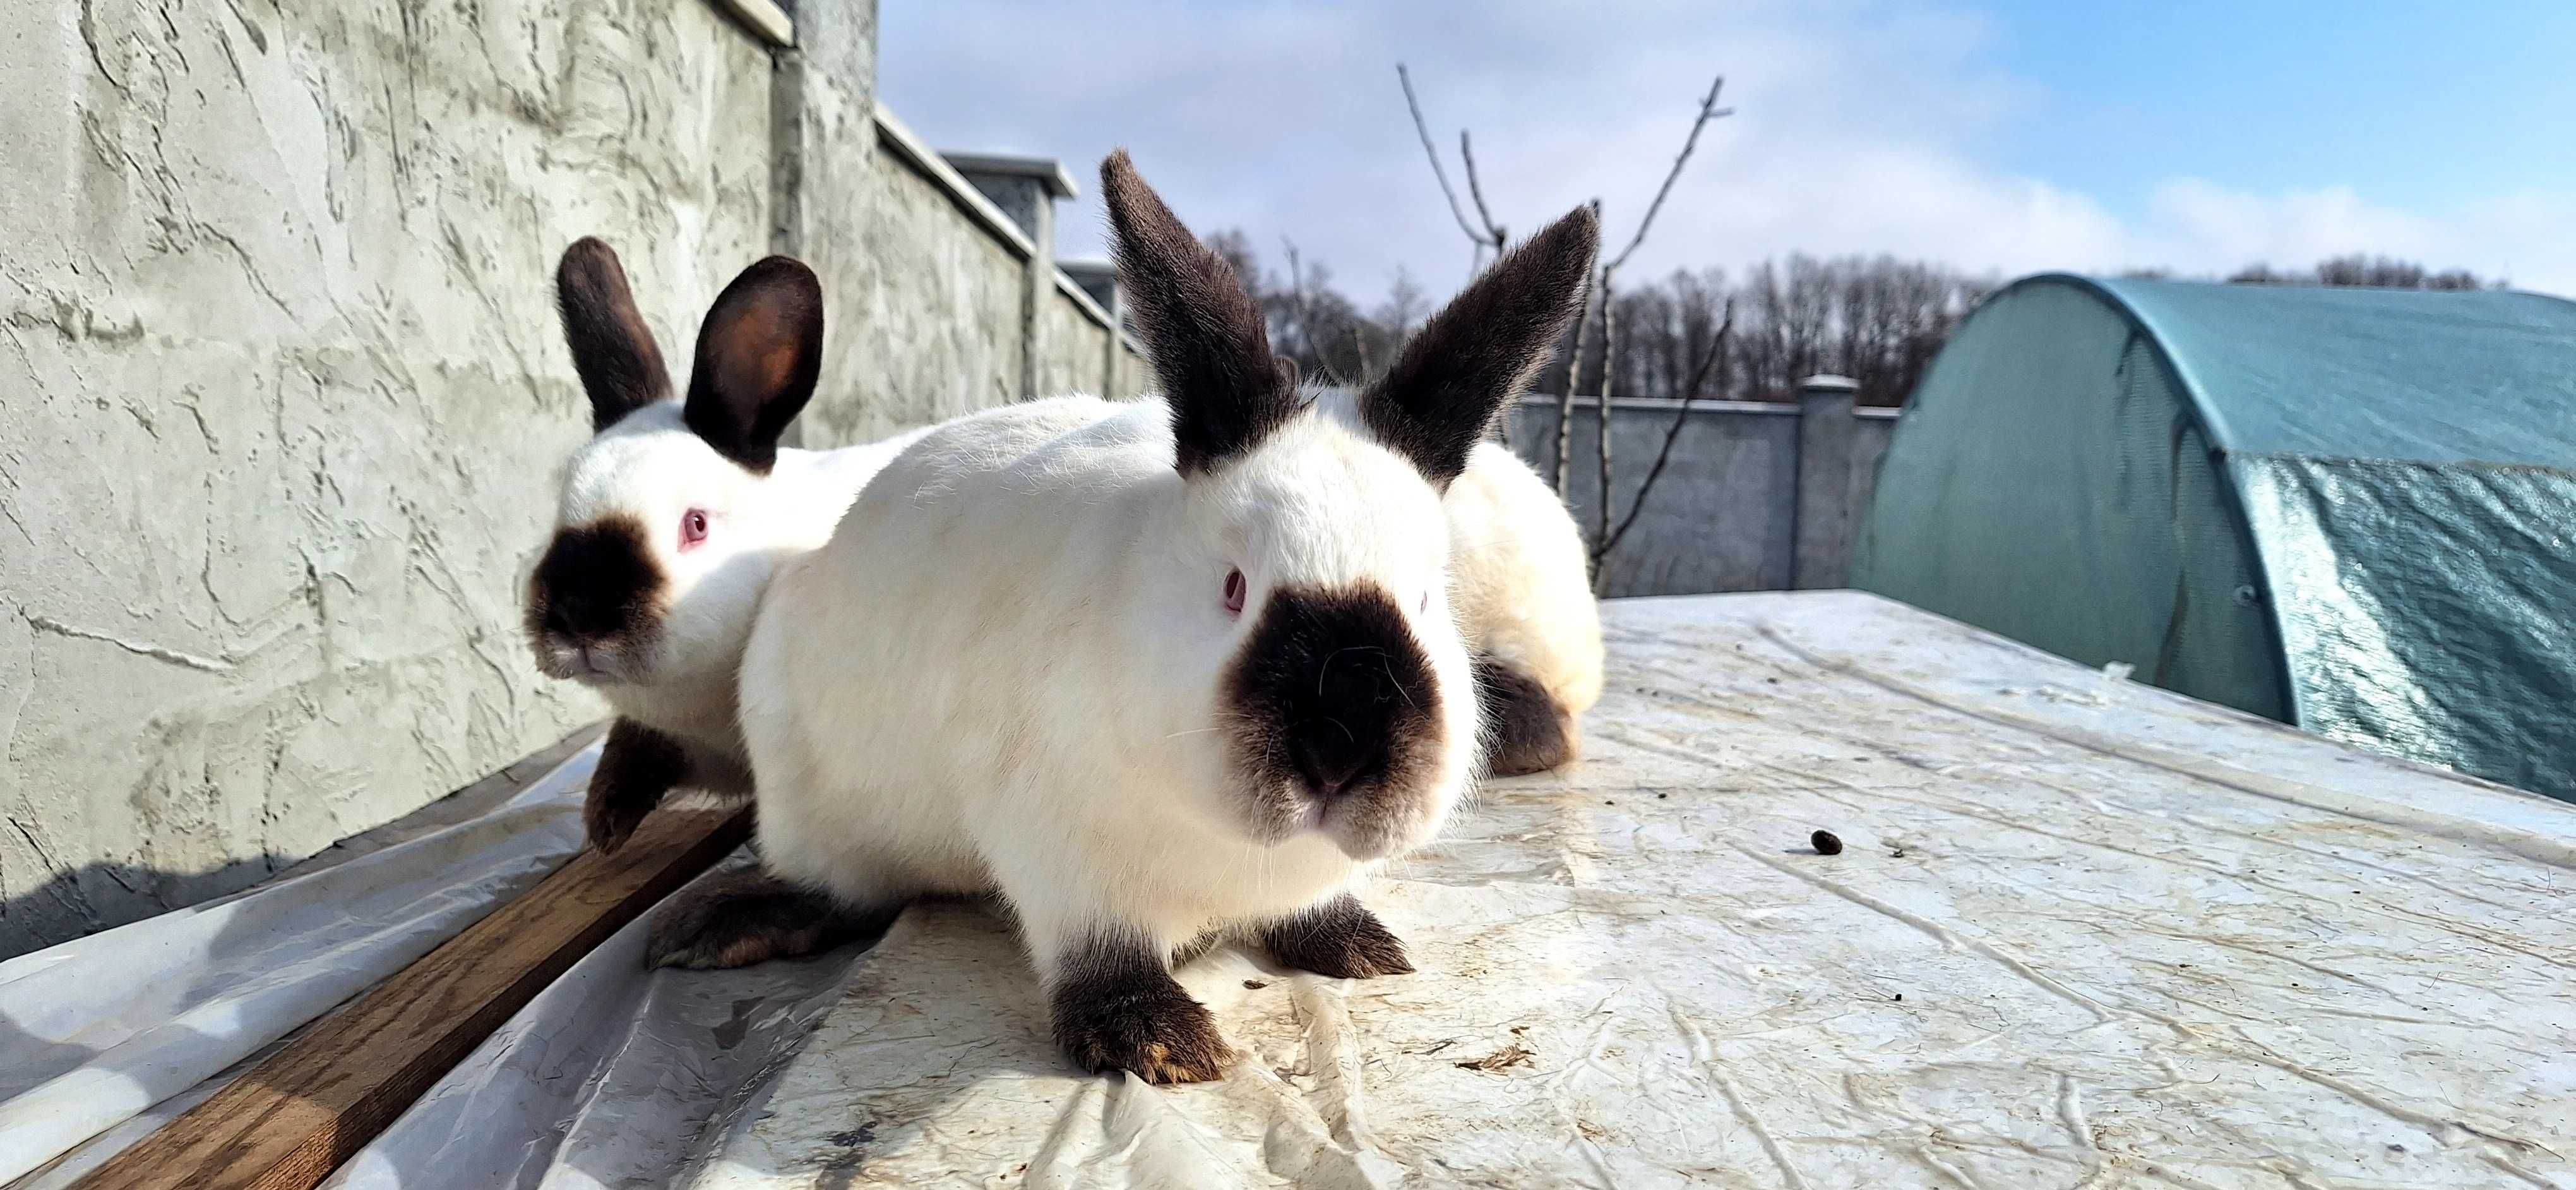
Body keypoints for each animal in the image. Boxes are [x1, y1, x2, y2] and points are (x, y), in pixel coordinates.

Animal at [649, 153, 1587, 1081]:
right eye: (1234, 587)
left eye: (1427, 595)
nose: (1339, 750)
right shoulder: (1057, 851)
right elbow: (1099, 951)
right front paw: (1160, 1041)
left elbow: (1312, 908)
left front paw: (1355, 944)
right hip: (806, 794)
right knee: (833, 883)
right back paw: (721, 925)